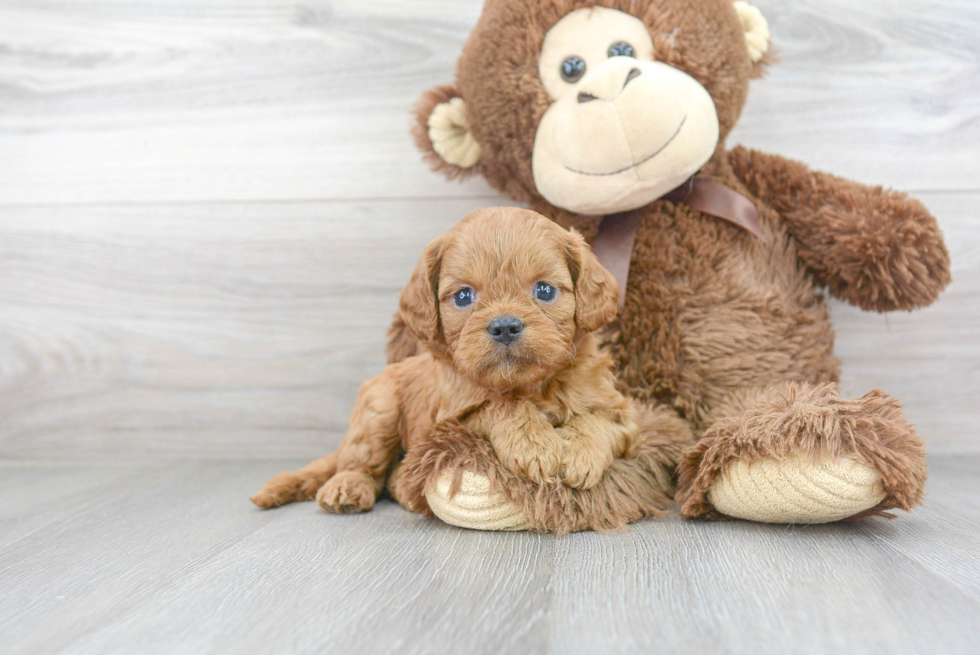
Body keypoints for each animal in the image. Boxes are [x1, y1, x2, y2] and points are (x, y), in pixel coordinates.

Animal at [249, 208, 640, 516]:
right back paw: (347, 487)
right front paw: (535, 444)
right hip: (377, 408)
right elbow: (501, 406)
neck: (530, 385)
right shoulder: (450, 419)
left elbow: (599, 421)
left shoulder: (623, 413)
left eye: (544, 290)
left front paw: (580, 454)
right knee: (362, 464)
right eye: (464, 296)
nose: (505, 327)